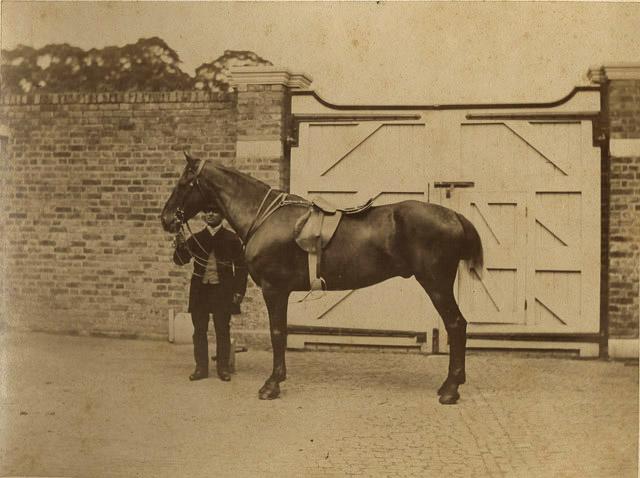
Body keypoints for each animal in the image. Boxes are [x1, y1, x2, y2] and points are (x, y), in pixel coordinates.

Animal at [160, 152, 483, 405]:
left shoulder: (274, 290)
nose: (166, 219)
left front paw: (272, 385)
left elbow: (277, 333)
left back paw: (450, 390)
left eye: (183, 183)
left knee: (456, 325)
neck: (265, 217)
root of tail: (454, 216)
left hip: (436, 284)